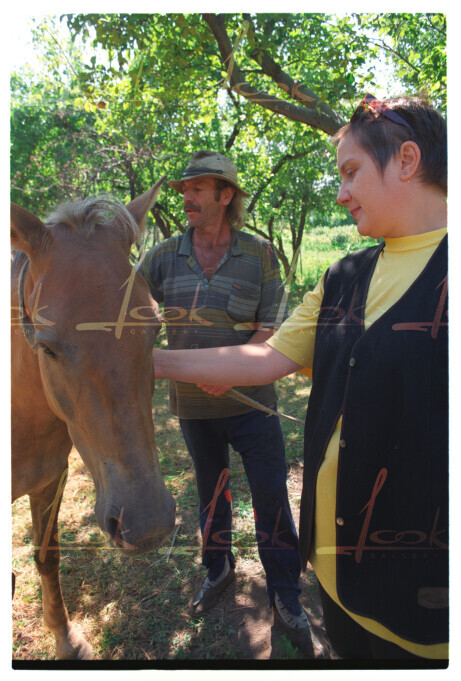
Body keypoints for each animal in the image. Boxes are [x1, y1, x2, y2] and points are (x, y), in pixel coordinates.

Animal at [11, 181, 176, 660]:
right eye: (47, 347)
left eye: (155, 328)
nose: (148, 524)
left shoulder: (51, 480)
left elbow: (47, 555)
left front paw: (66, 640)